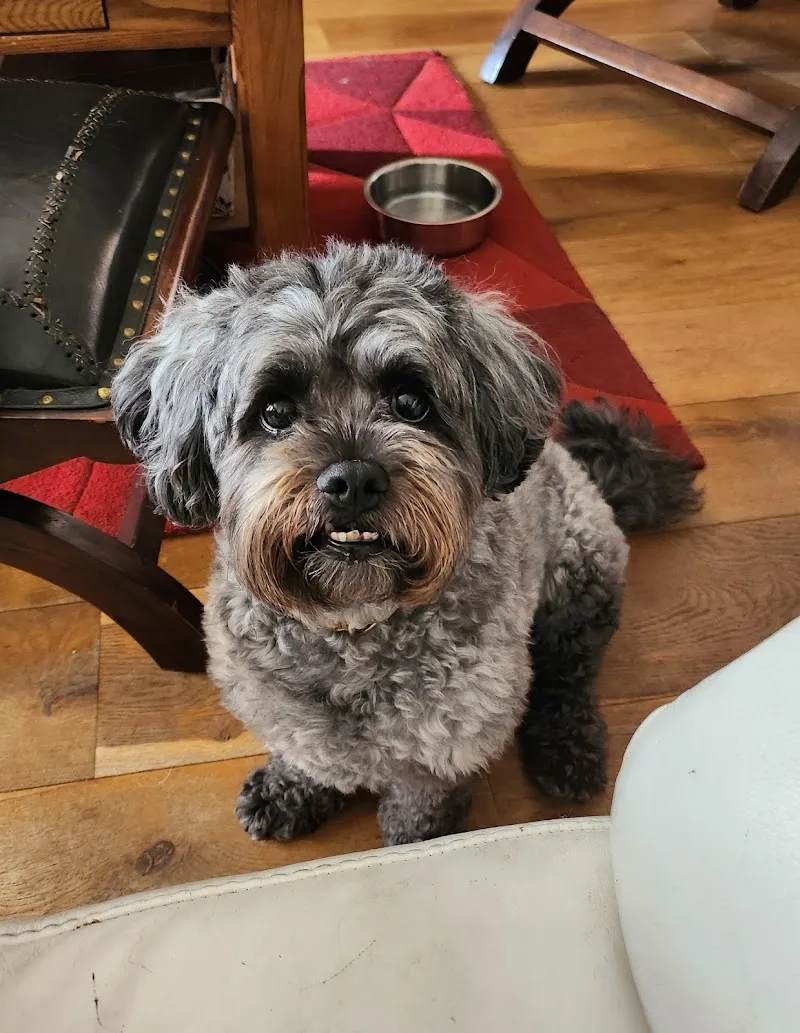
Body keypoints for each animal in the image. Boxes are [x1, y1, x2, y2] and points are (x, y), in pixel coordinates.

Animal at [112, 242, 700, 846]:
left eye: (411, 402)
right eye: (275, 411)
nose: (353, 479)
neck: (353, 623)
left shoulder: (449, 731)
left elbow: (421, 800)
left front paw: (417, 841)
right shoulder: (281, 705)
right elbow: (306, 753)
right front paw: (289, 790)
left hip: (577, 577)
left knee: (569, 673)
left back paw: (566, 749)